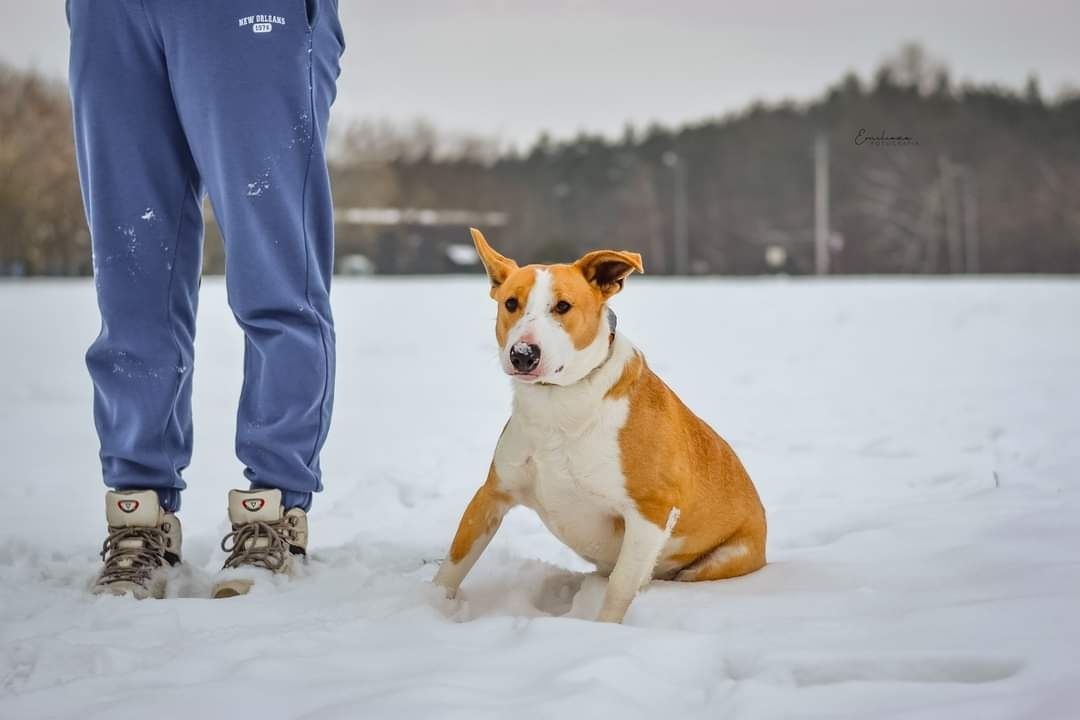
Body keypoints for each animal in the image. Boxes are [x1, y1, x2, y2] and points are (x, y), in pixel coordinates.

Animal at [432, 227, 768, 621]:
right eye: (511, 303)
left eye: (563, 306)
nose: (523, 355)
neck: (558, 402)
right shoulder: (493, 493)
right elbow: (455, 560)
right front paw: (431, 605)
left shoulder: (650, 511)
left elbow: (620, 588)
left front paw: (605, 628)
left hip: (718, 560)